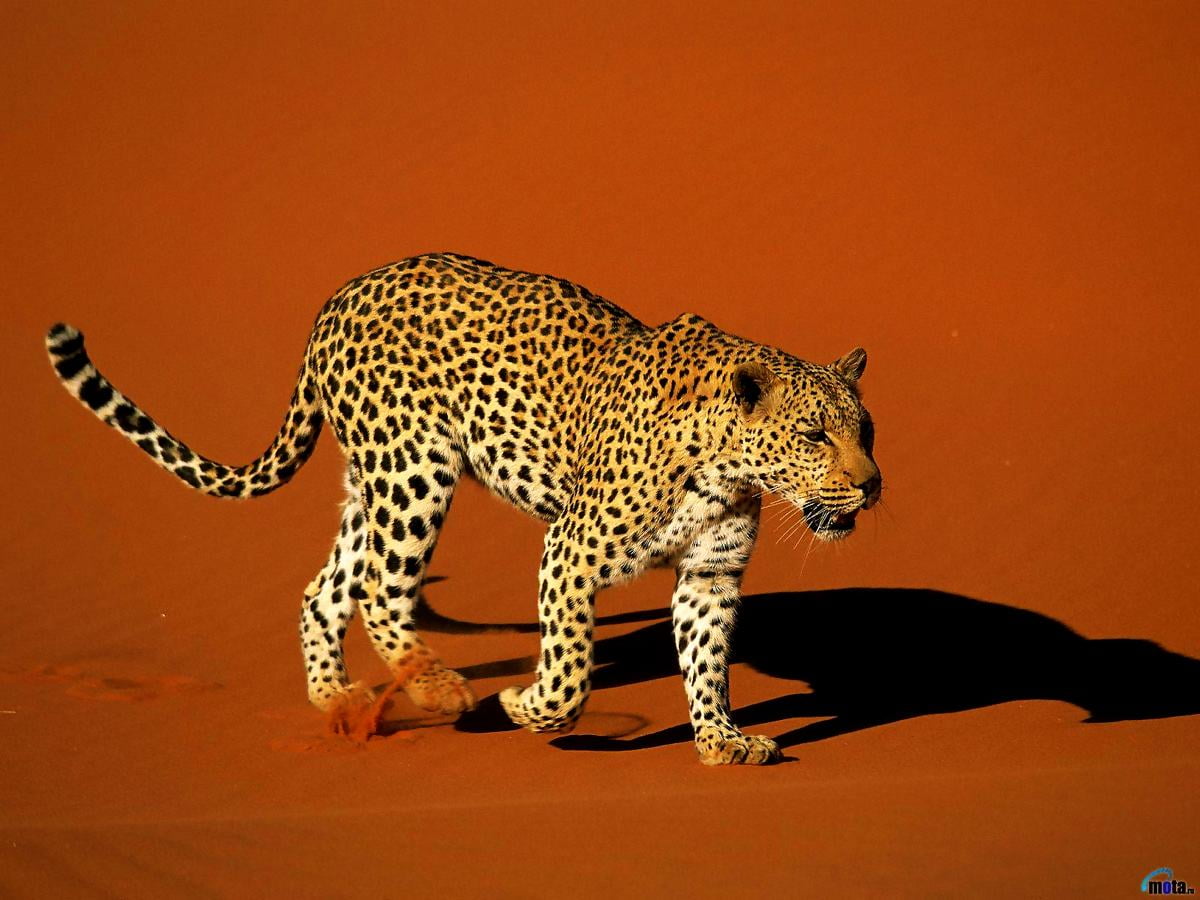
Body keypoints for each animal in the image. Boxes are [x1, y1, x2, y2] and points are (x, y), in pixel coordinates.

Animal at [44, 252, 881, 765]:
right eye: (814, 434)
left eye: (865, 431)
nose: (872, 485)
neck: (726, 465)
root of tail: (337, 298)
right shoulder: (569, 551)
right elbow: (570, 670)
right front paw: (526, 705)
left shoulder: (710, 576)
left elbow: (707, 664)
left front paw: (722, 740)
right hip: (415, 471)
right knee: (381, 589)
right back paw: (437, 686)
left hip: (372, 486)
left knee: (326, 590)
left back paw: (339, 699)